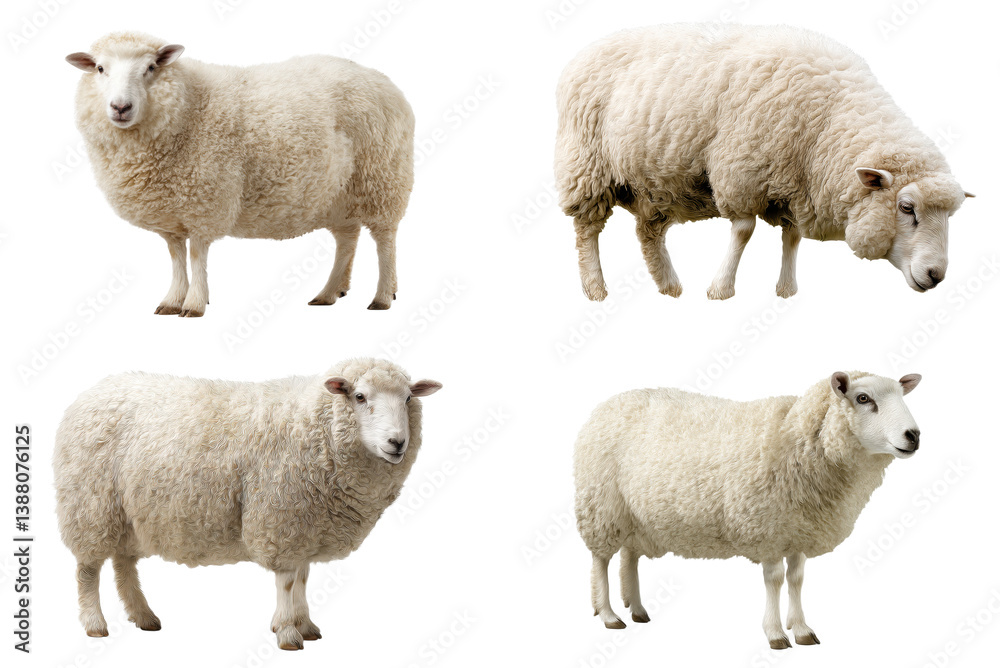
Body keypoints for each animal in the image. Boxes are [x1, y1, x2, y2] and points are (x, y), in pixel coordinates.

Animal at [53, 358, 441, 650]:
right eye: (359, 396)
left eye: (409, 398)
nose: (397, 442)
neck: (313, 426)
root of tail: (95, 389)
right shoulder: (282, 518)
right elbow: (288, 582)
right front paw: (288, 633)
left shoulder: (306, 524)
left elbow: (302, 578)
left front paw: (305, 625)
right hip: (90, 504)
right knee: (88, 569)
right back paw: (94, 623)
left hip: (128, 514)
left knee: (124, 564)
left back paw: (143, 616)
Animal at [66, 32, 415, 316]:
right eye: (100, 69)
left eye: (150, 67)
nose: (120, 107)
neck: (188, 106)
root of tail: (382, 80)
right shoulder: (173, 214)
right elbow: (177, 258)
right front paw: (172, 300)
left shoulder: (205, 203)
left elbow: (197, 255)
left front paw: (195, 304)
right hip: (340, 194)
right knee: (347, 239)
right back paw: (329, 292)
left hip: (383, 178)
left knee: (385, 240)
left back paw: (383, 296)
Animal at [555, 24, 973, 301]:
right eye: (906, 208)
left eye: (950, 216)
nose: (936, 275)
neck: (827, 124)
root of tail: (586, 50)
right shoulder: (741, 171)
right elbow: (743, 231)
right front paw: (721, 288)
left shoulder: (794, 185)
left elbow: (792, 237)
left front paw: (786, 289)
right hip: (586, 167)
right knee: (587, 231)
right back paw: (595, 288)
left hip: (655, 183)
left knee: (648, 233)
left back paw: (669, 286)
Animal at [574, 371, 922, 648]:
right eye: (863, 398)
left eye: (902, 396)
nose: (914, 435)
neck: (793, 435)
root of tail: (608, 404)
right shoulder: (766, 529)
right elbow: (775, 580)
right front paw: (776, 634)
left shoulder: (798, 530)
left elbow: (797, 579)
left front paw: (801, 629)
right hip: (601, 506)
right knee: (601, 561)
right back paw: (609, 615)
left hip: (633, 515)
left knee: (629, 557)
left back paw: (636, 609)